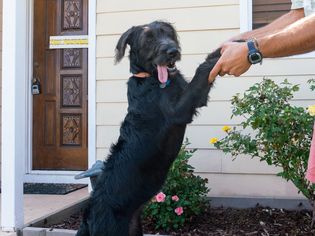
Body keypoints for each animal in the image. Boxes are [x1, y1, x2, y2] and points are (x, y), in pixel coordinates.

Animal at [76, 20, 221, 236]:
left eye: (168, 34)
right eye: (148, 39)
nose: (173, 51)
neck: (151, 78)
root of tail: (88, 219)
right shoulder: (179, 109)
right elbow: (200, 75)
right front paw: (218, 58)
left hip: (134, 227)